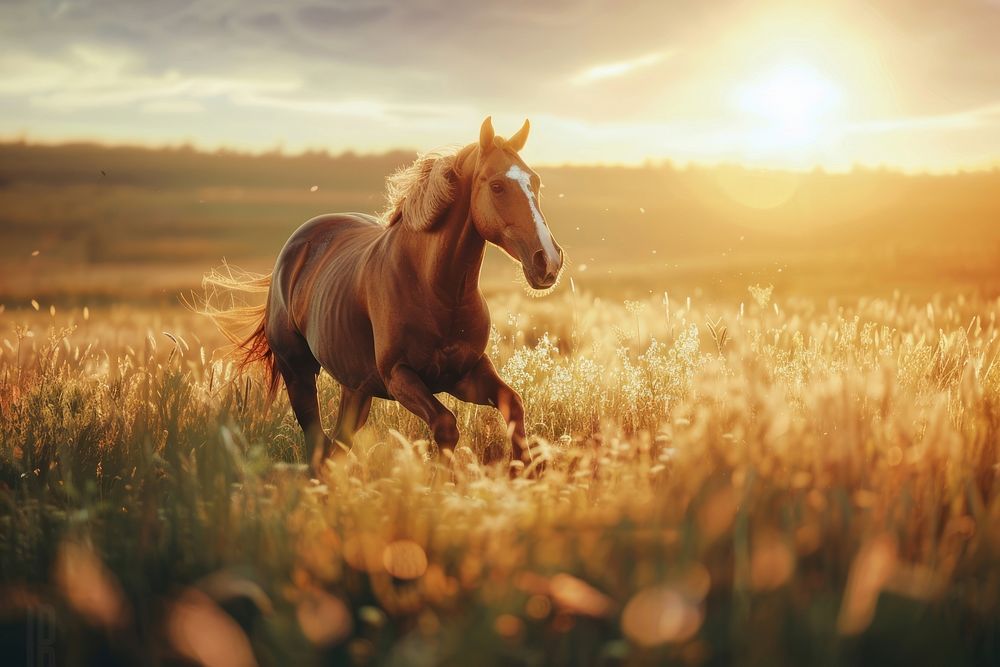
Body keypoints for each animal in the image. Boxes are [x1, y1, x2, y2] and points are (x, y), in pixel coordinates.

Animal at [220, 118, 564, 474]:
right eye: (497, 186)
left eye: (535, 182)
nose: (548, 261)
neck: (437, 290)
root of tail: (294, 248)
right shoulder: (400, 377)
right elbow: (446, 425)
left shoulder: (465, 374)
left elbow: (514, 405)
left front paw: (525, 471)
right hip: (298, 373)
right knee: (317, 444)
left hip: (356, 390)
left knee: (336, 446)